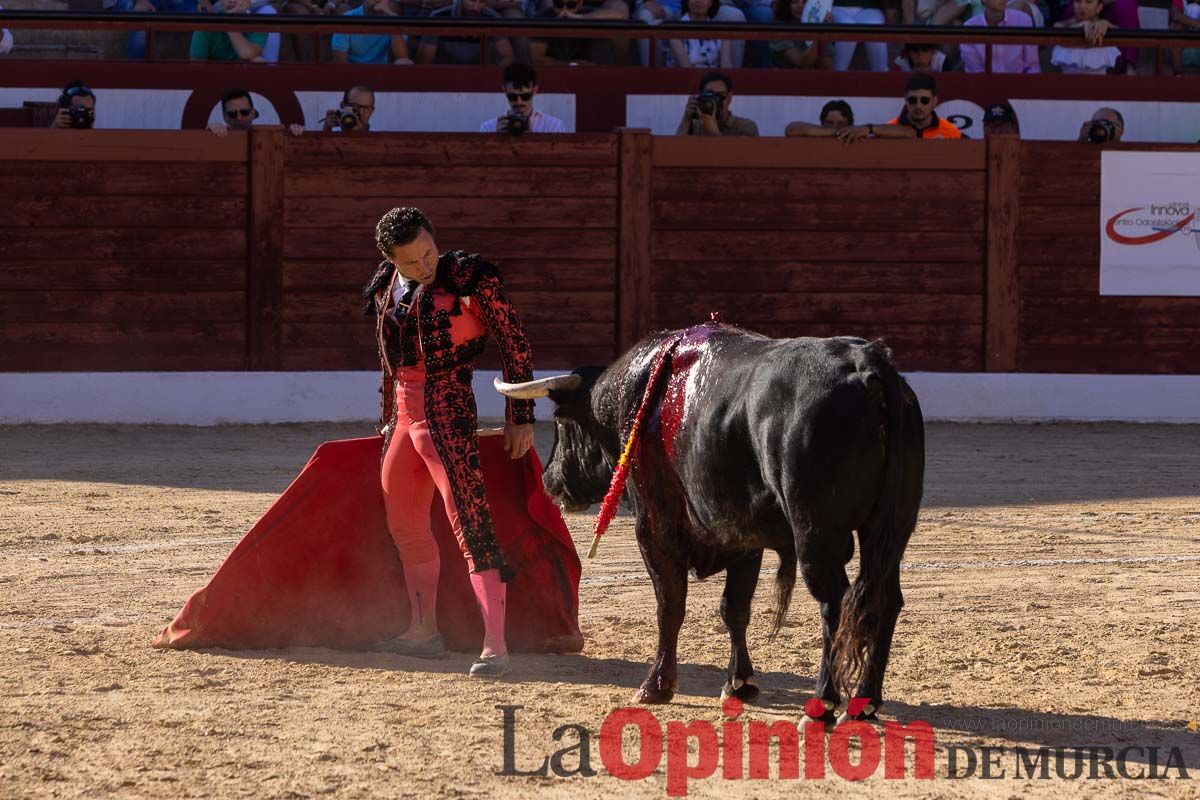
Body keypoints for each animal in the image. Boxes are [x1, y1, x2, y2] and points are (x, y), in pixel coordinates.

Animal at [492, 321, 921, 724]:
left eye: (561, 423)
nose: (549, 481)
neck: (636, 398)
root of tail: (867, 364)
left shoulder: (655, 527)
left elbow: (670, 604)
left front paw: (657, 685)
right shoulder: (742, 535)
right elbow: (734, 607)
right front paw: (740, 683)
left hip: (816, 535)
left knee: (836, 604)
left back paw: (825, 705)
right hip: (891, 531)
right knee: (885, 600)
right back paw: (866, 702)